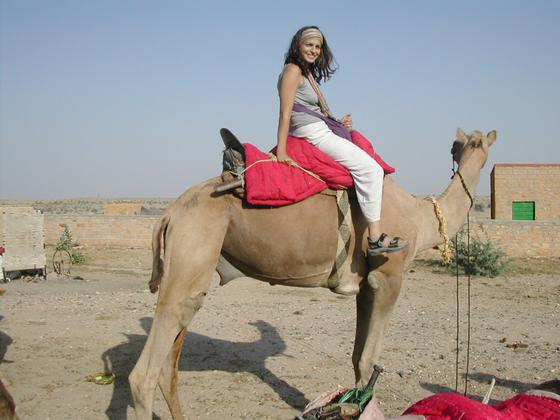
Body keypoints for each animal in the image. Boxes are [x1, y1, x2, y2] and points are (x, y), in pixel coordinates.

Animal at [129, 128, 497, 419]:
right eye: (471, 142)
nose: (475, 145)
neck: (419, 217)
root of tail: (169, 213)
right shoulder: (388, 277)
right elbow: (370, 358)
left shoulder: (365, 286)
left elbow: (357, 358)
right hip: (191, 248)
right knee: (142, 376)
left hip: (193, 268)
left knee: (170, 361)